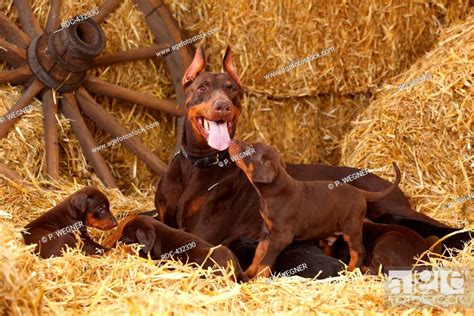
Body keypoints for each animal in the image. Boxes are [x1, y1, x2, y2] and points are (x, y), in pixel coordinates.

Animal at [230, 139, 400, 278]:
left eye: (251, 148)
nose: (232, 141)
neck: (274, 191)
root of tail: (360, 192)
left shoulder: (281, 235)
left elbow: (266, 260)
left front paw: (257, 278)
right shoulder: (267, 229)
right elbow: (259, 252)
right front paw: (249, 272)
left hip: (352, 228)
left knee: (358, 252)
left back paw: (350, 272)